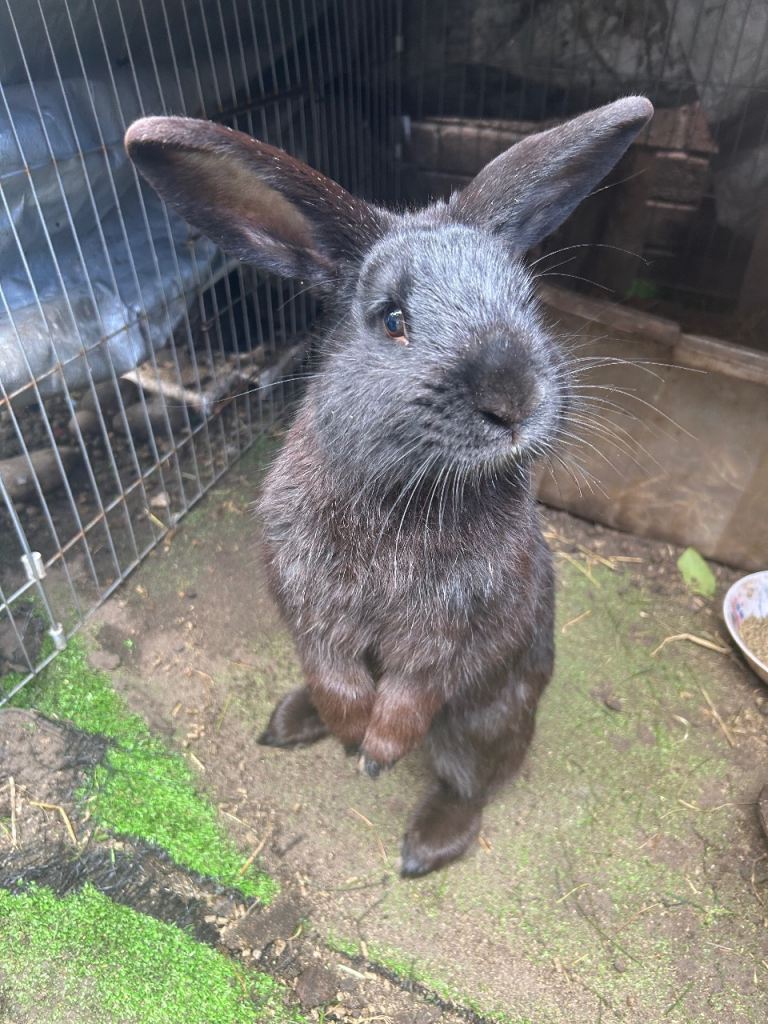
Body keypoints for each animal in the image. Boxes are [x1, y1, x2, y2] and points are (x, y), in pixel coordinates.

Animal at [125, 96, 653, 877]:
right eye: (392, 319)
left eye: (527, 300)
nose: (513, 400)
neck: (405, 489)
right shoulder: (307, 599)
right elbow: (334, 672)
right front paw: (351, 736)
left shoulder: (452, 627)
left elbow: (412, 689)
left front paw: (375, 754)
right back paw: (292, 723)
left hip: (487, 717)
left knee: (472, 781)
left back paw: (424, 848)